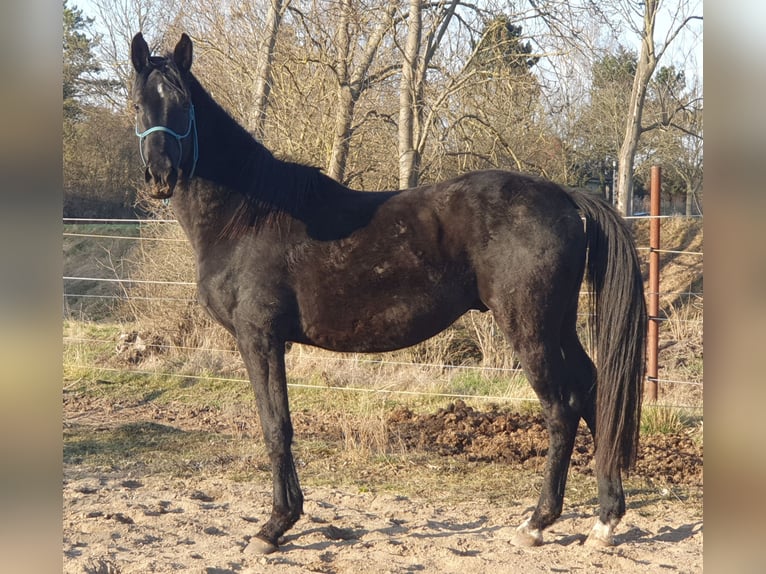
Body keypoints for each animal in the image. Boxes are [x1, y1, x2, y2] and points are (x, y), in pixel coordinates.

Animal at [132, 33, 648, 556]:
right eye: (139, 104)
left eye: (183, 104)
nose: (160, 176)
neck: (248, 216)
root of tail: (564, 196)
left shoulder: (258, 337)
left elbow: (276, 426)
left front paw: (274, 526)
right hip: (559, 325)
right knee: (591, 391)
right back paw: (604, 520)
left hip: (529, 328)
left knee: (561, 410)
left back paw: (538, 522)